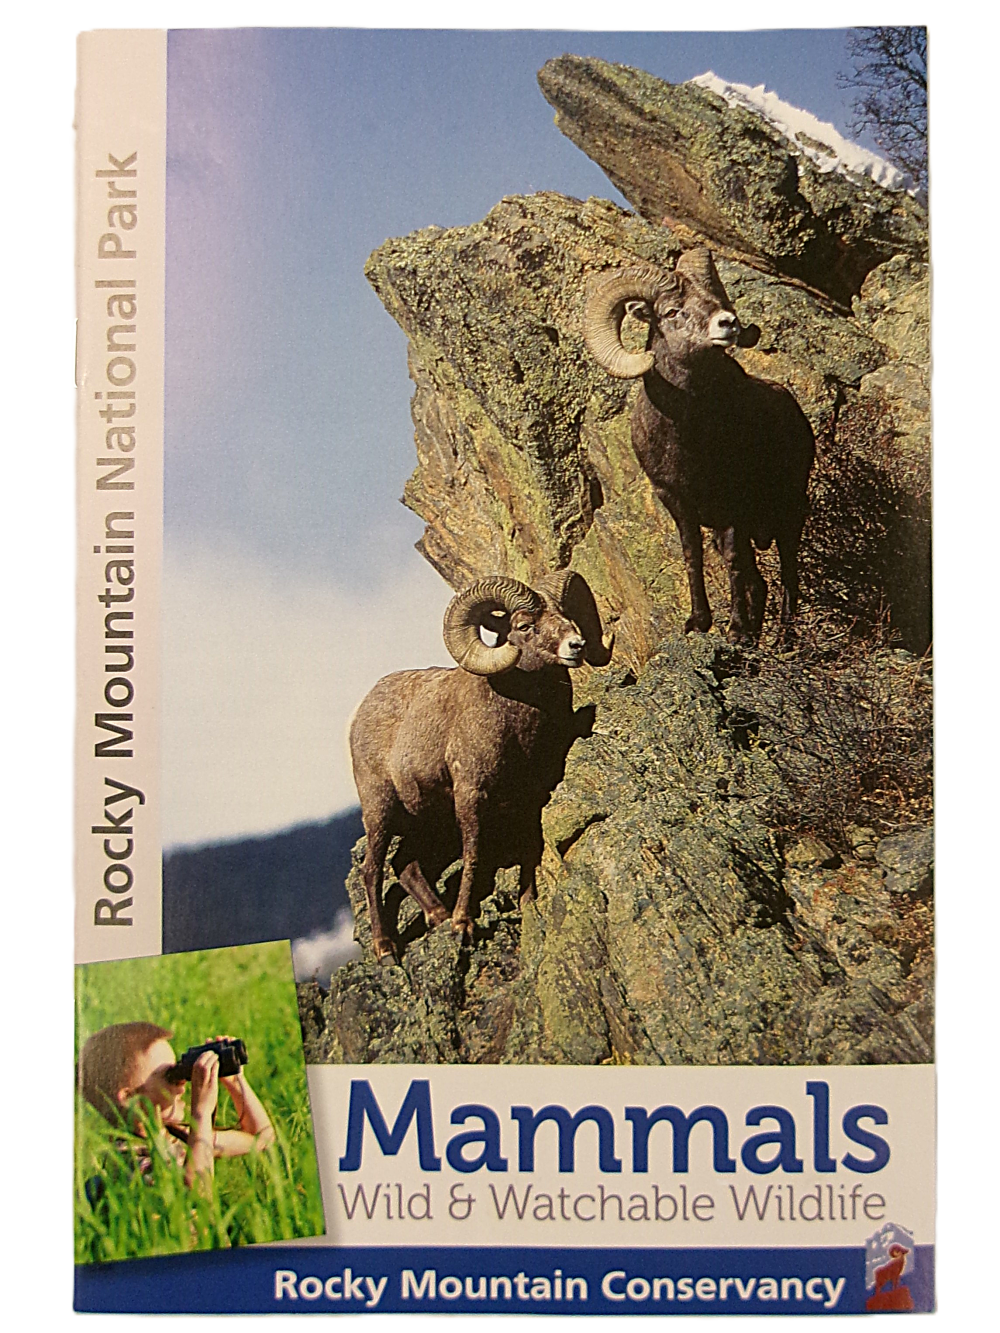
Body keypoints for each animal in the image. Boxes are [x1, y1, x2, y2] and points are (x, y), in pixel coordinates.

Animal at [348, 571, 613, 962]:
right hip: (380, 810)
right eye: (525, 626)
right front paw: (463, 924)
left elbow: (530, 847)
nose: (576, 646)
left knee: (405, 865)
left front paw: (526, 901)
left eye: (566, 615)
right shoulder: (471, 793)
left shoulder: (529, 798)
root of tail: (360, 715)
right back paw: (387, 948)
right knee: (372, 871)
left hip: (426, 820)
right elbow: (474, 852)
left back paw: (438, 915)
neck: (518, 724)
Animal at [584, 247, 815, 644]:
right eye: (672, 312)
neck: (689, 438)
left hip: (788, 512)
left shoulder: (733, 504)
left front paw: (735, 630)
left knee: (787, 570)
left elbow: (733, 561)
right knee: (760, 580)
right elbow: (692, 554)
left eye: (714, 300)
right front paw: (700, 623)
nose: (728, 324)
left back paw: (782, 639)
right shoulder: (676, 500)